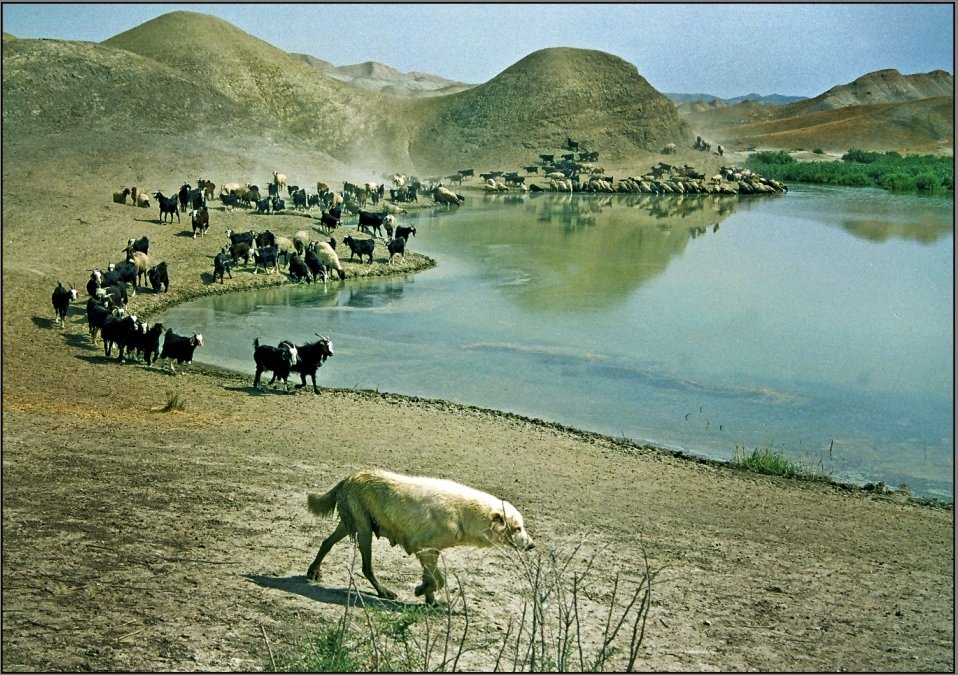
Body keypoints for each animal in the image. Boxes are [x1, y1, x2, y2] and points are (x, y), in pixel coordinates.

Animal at [306, 470, 536, 608]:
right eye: (517, 528)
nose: (532, 545)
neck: (466, 514)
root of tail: (349, 477)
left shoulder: (432, 552)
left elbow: (433, 578)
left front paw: (429, 599)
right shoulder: (424, 549)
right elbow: (439, 580)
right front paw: (421, 591)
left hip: (350, 526)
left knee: (326, 543)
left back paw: (313, 571)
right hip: (363, 531)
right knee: (366, 567)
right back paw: (384, 592)